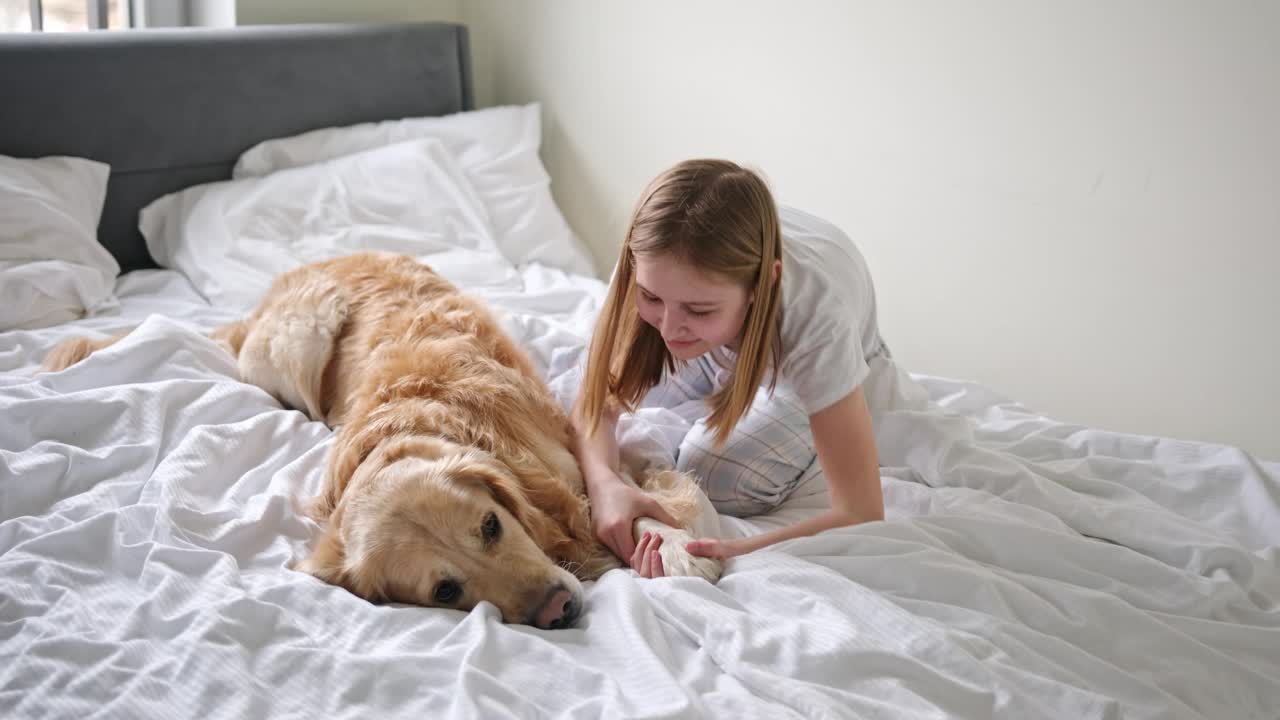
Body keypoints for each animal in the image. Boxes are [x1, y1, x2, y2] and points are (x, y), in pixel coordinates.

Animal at [42, 252, 721, 627]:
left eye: (490, 526)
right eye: (445, 591)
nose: (557, 609)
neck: (423, 423)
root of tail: (266, 298)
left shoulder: (580, 461)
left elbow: (648, 498)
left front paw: (679, 548)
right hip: (296, 345)